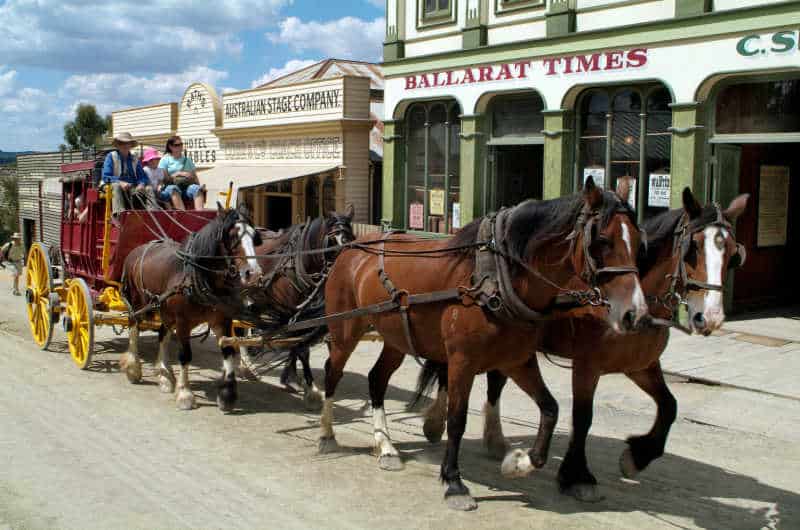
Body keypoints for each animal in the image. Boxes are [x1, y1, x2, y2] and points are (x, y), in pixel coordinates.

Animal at [119, 204, 262, 410]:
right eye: (233, 236)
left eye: (254, 235)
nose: (254, 273)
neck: (200, 277)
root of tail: (135, 252)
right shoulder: (183, 322)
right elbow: (185, 355)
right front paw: (185, 394)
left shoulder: (222, 320)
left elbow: (228, 351)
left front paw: (227, 394)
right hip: (138, 303)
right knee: (133, 326)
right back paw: (133, 368)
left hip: (164, 309)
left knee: (162, 334)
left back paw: (164, 375)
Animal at [238, 203, 356, 408]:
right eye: (332, 239)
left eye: (351, 239)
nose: (344, 270)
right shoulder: (289, 311)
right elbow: (301, 347)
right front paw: (310, 388)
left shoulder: (301, 313)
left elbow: (297, 342)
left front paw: (291, 376)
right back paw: (247, 363)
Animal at [316, 179, 648, 510]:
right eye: (602, 241)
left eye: (639, 243)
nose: (635, 313)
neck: (498, 279)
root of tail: (351, 248)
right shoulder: (461, 362)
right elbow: (457, 420)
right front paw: (454, 482)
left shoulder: (517, 360)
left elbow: (550, 409)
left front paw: (518, 463)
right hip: (345, 330)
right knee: (333, 372)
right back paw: (328, 436)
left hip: (396, 339)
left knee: (377, 379)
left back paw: (385, 446)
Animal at [418, 189, 752, 500]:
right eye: (693, 248)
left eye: (733, 253)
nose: (710, 317)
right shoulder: (587, 365)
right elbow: (583, 418)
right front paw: (576, 475)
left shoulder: (641, 366)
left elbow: (669, 407)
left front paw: (636, 457)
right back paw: (438, 422)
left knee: (492, 380)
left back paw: (489, 437)